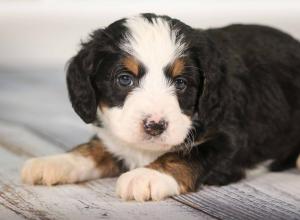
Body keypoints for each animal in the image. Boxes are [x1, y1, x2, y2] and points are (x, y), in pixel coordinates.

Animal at [22, 13, 300, 201]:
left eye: (181, 83)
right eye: (125, 79)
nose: (155, 126)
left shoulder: (230, 140)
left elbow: (188, 154)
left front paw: (147, 176)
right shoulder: (117, 137)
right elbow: (95, 148)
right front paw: (56, 162)